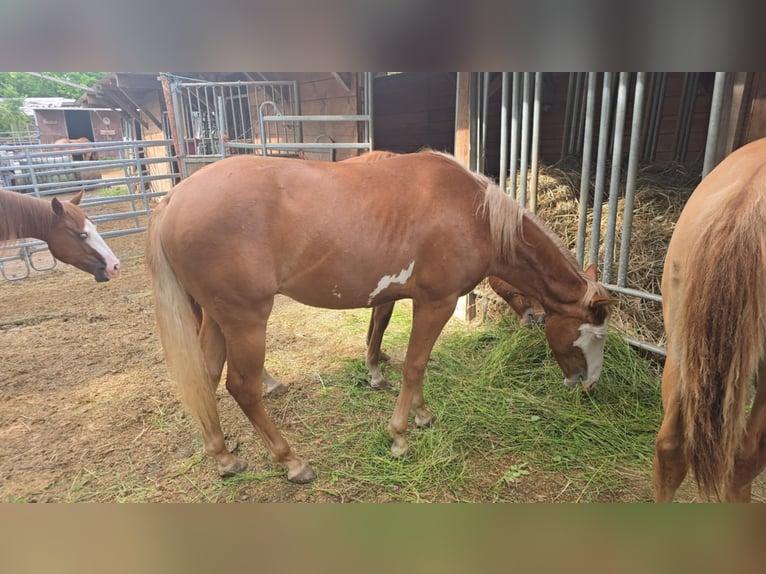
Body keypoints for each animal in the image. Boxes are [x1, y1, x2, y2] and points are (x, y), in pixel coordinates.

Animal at [146, 150, 614, 483]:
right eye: (595, 336)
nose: (590, 385)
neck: (474, 214)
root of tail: (173, 199)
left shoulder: (414, 301)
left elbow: (409, 360)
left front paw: (422, 416)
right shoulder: (437, 303)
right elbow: (414, 365)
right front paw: (401, 436)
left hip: (216, 318)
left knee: (205, 377)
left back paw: (224, 457)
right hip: (244, 320)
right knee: (242, 388)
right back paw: (291, 461)